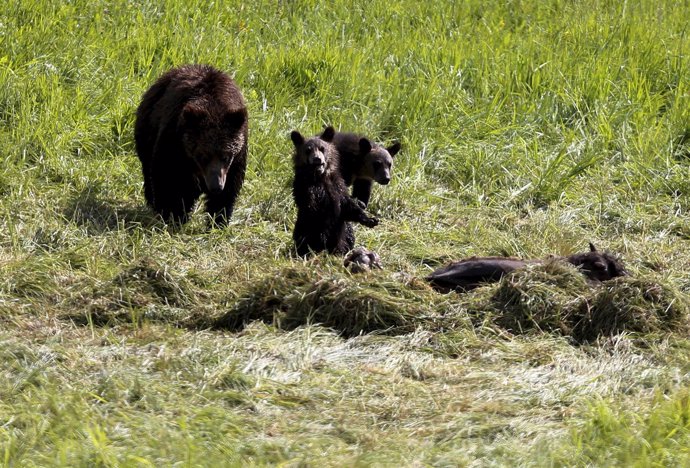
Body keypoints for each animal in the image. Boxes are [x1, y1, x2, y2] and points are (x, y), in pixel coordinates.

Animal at [134, 65, 247, 226]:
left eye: (226, 156)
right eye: (203, 156)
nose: (216, 186)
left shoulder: (237, 157)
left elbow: (229, 190)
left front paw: (218, 220)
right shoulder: (174, 140)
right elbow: (165, 177)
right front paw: (170, 214)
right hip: (147, 128)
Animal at [288, 127, 378, 256]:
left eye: (322, 148)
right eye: (308, 150)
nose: (317, 159)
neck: (319, 178)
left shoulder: (336, 185)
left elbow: (348, 206)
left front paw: (370, 219)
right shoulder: (303, 186)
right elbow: (309, 205)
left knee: (347, 236)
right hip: (302, 228)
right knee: (303, 238)